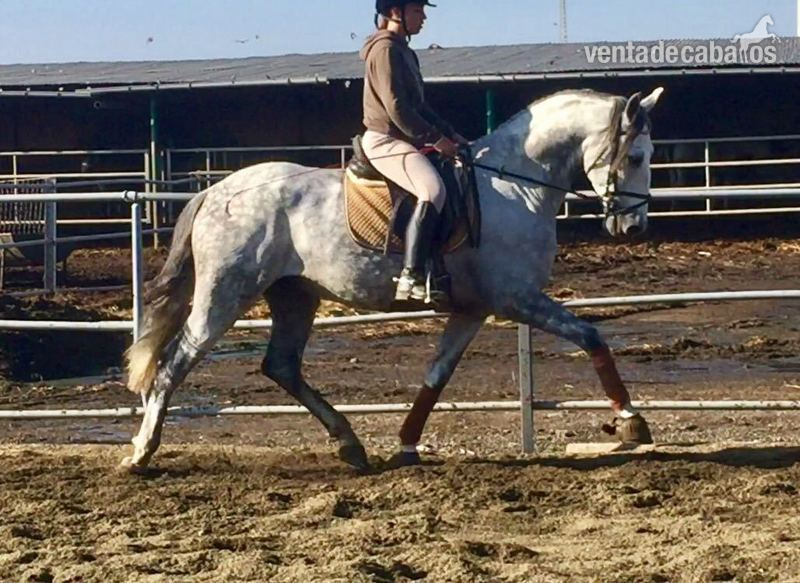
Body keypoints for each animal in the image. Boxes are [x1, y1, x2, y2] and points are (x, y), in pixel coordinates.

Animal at [122, 87, 665, 473]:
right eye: (637, 157)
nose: (634, 227)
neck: (515, 185)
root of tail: (217, 193)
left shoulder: (473, 309)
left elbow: (436, 376)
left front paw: (405, 445)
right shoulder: (518, 299)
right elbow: (590, 335)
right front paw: (633, 423)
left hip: (294, 296)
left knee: (281, 366)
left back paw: (350, 445)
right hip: (225, 294)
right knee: (174, 364)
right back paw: (142, 453)